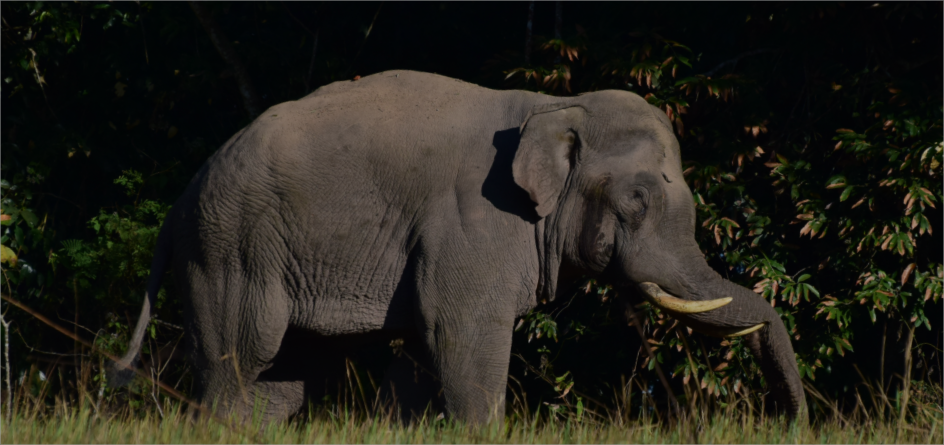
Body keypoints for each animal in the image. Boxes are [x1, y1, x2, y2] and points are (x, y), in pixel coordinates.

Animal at [110, 69, 804, 424]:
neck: (556, 107)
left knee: (281, 380)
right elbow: (462, 330)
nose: (791, 422)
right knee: (238, 364)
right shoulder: (476, 221)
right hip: (229, 248)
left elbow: (424, 343)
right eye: (637, 199)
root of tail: (178, 205)